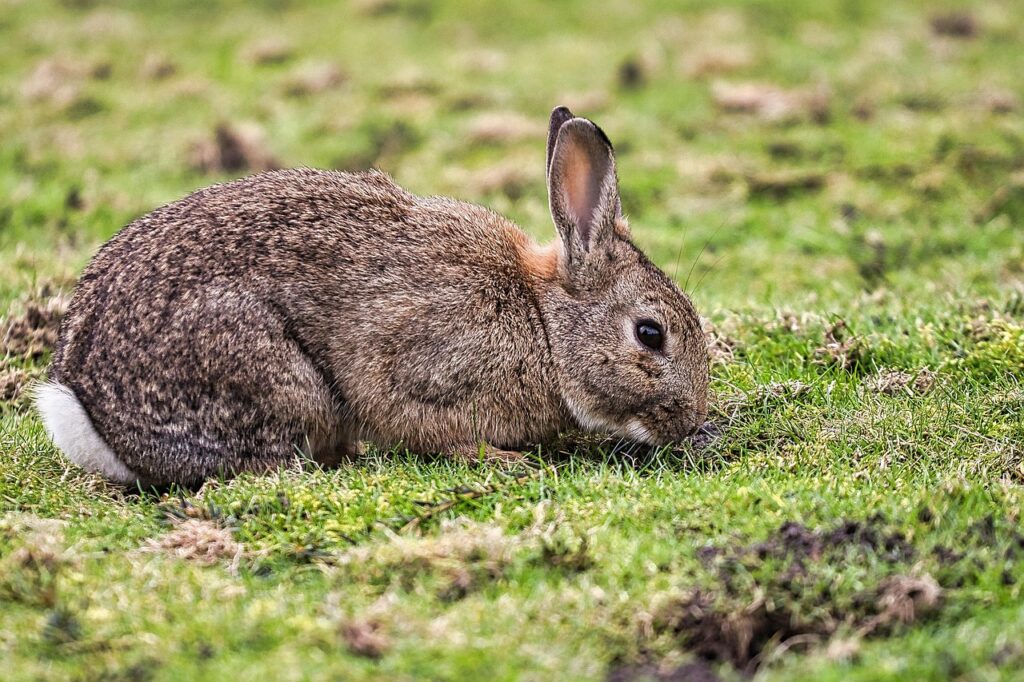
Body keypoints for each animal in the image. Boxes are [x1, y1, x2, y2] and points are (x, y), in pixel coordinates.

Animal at [36, 106, 709, 487]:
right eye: (650, 334)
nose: (691, 423)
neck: (545, 323)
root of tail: (88, 416)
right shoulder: (421, 369)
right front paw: (500, 460)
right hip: (269, 376)